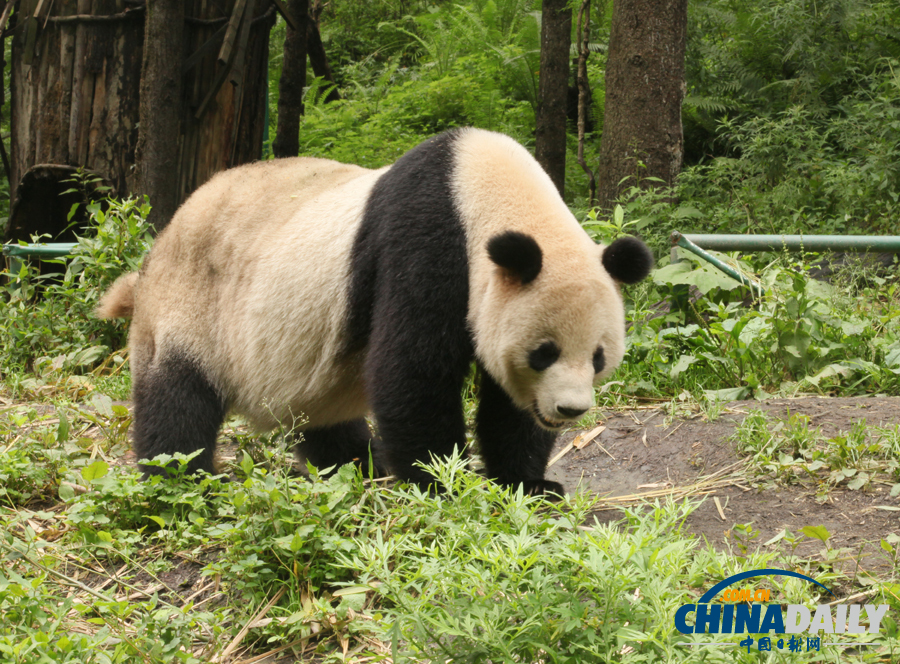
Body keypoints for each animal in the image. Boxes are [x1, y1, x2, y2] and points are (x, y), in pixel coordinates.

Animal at [98, 128, 652, 498]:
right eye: (544, 352)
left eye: (599, 357)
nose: (570, 411)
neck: (485, 187)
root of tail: (159, 246)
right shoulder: (425, 242)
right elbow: (412, 370)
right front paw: (440, 482)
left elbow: (508, 404)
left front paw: (530, 485)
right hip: (192, 305)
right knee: (178, 402)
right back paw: (181, 481)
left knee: (322, 417)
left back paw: (360, 466)